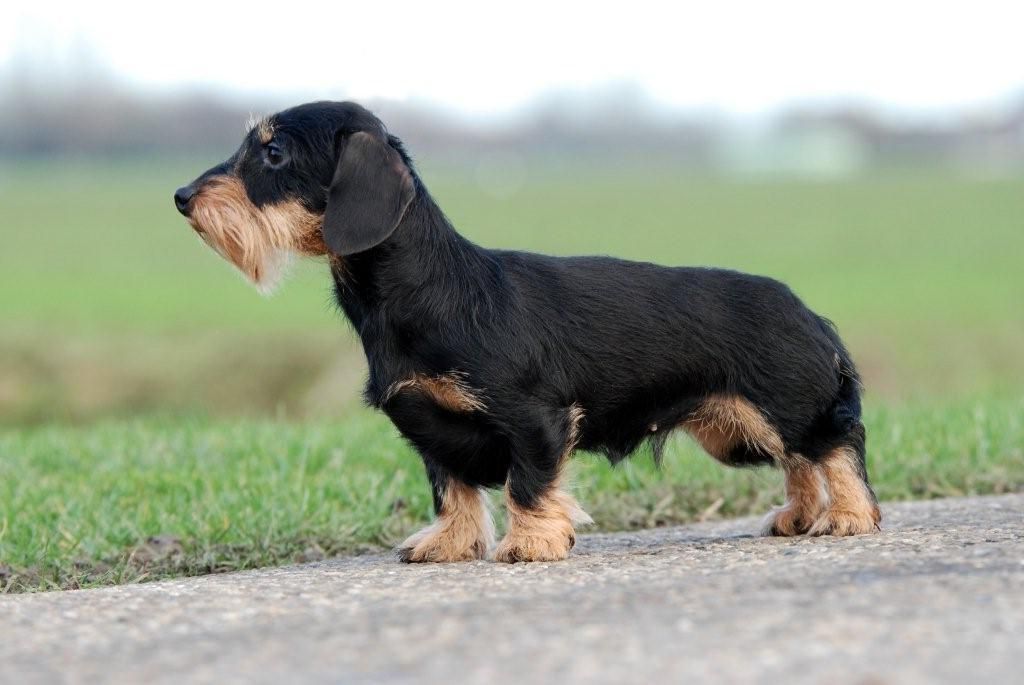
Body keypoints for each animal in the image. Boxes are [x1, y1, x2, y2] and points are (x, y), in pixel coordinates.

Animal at [174, 101, 880, 561]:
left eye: (273, 152)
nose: (182, 198)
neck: (430, 291)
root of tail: (809, 312)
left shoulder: (536, 418)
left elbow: (528, 483)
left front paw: (534, 542)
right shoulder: (431, 430)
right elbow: (453, 492)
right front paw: (450, 543)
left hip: (783, 410)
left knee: (836, 447)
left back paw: (849, 517)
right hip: (738, 435)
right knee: (801, 464)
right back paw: (800, 516)